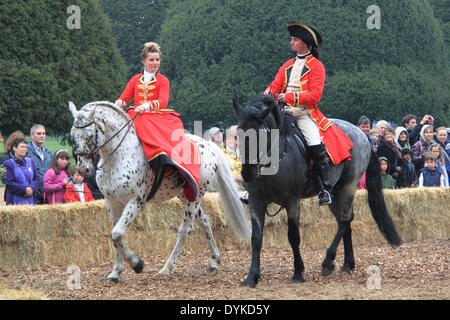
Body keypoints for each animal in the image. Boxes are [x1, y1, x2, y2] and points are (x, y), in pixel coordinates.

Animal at [69, 100, 253, 282]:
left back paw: (167, 267)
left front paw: (137, 264)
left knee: (185, 230)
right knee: (205, 222)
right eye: (73, 136)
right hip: (186, 194)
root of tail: (209, 146)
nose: (83, 169)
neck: (118, 156)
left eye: (90, 135)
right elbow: (114, 235)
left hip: (195, 197)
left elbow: (117, 233)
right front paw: (116, 272)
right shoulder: (111, 201)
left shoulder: (136, 200)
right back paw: (214, 261)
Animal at [232, 95, 400, 288]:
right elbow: (256, 238)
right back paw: (347, 264)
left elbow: (293, 236)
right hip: (335, 193)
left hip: (349, 186)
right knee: (345, 221)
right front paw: (251, 277)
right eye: (238, 132)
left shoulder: (292, 202)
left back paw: (328, 261)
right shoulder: (256, 202)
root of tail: (362, 135)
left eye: (259, 133)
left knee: (344, 220)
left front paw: (298, 272)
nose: (246, 173)